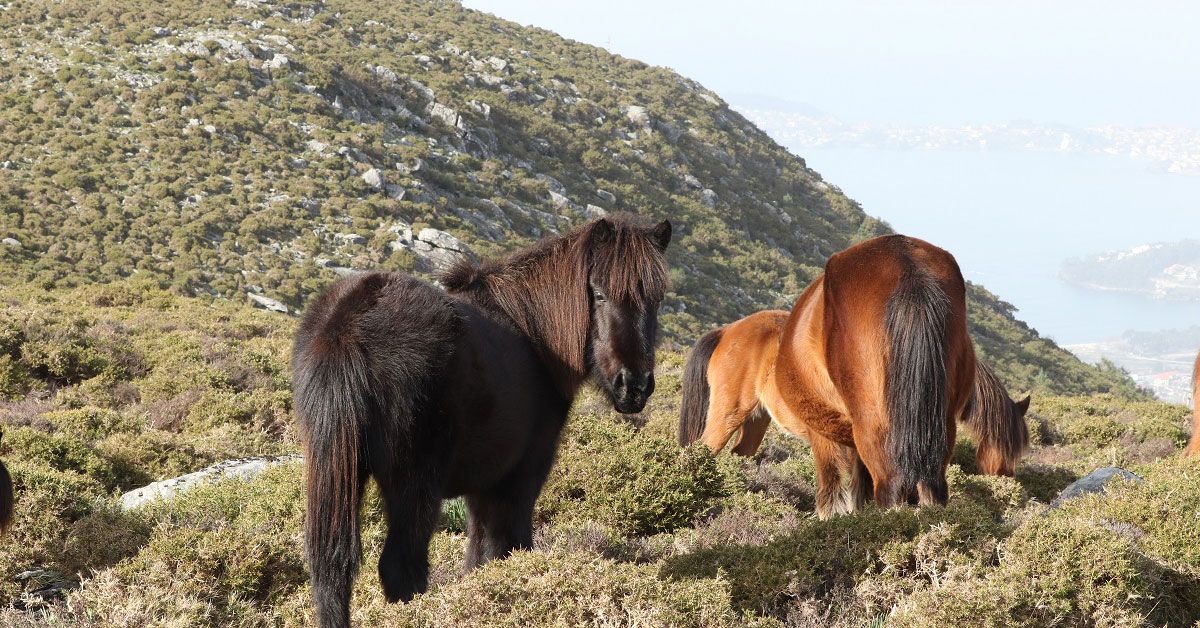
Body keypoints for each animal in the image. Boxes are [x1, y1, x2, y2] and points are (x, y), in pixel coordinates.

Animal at [294, 213, 672, 624]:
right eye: (599, 293)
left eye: (657, 299)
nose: (633, 386)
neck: (533, 332)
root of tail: (349, 325)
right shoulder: (522, 474)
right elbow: (511, 545)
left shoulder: (482, 485)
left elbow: (479, 556)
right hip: (415, 486)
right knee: (401, 567)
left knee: (332, 571)